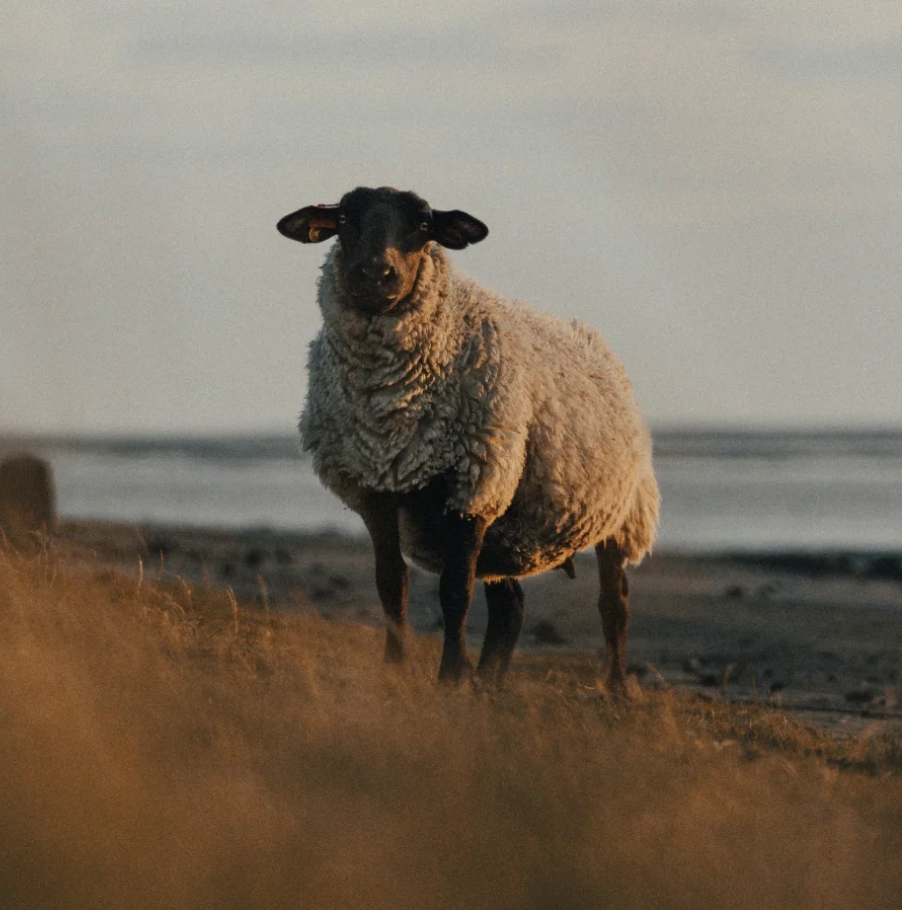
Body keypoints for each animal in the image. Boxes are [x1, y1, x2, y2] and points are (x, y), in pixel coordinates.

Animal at [277, 186, 659, 687]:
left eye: (423, 225)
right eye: (343, 219)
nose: (375, 274)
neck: (389, 410)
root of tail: (594, 340)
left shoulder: (473, 484)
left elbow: (455, 592)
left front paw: (450, 678)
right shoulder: (374, 489)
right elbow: (391, 585)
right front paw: (396, 672)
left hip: (620, 512)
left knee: (614, 606)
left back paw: (615, 689)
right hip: (508, 529)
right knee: (510, 607)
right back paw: (489, 686)